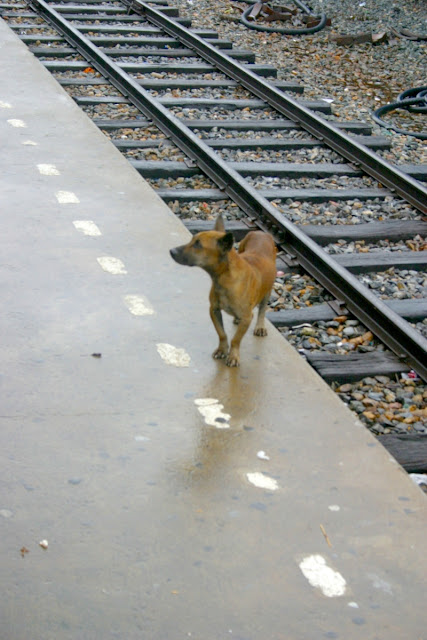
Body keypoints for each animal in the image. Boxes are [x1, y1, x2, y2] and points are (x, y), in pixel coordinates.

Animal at [171, 215, 278, 364]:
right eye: (192, 240)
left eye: (198, 245)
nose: (171, 251)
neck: (224, 278)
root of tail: (261, 233)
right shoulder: (214, 310)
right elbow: (222, 333)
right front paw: (222, 350)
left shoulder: (247, 317)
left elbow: (236, 339)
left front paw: (233, 356)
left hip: (267, 291)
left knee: (262, 310)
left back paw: (260, 326)